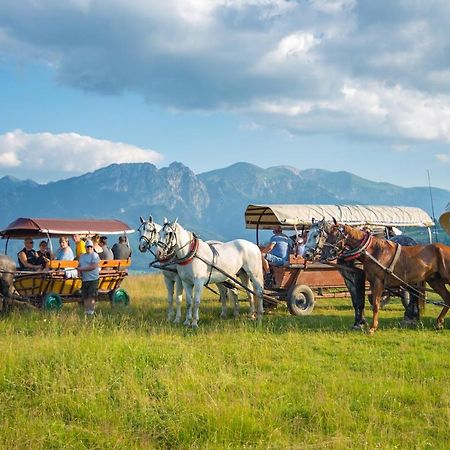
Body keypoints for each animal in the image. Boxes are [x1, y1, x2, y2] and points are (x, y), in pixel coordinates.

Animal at [322, 222, 450, 332]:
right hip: (435, 281)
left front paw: (372, 328)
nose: (324, 254)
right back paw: (438, 322)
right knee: (447, 298)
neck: (373, 251)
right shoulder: (372, 283)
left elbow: (376, 305)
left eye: (336, 234)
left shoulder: (378, 282)